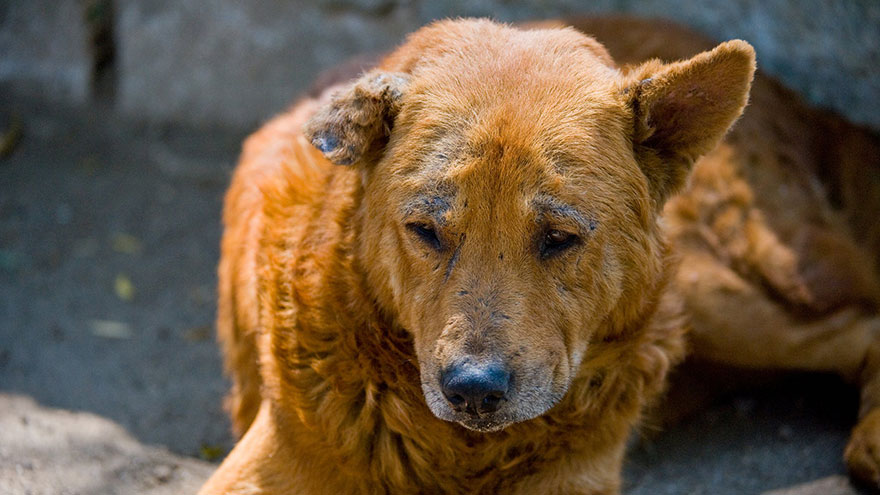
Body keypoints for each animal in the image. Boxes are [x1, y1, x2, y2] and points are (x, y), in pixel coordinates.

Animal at [199, 16, 880, 495]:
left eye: (559, 237)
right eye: (426, 231)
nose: (474, 391)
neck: (465, 456)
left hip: (715, 291)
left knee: (858, 324)